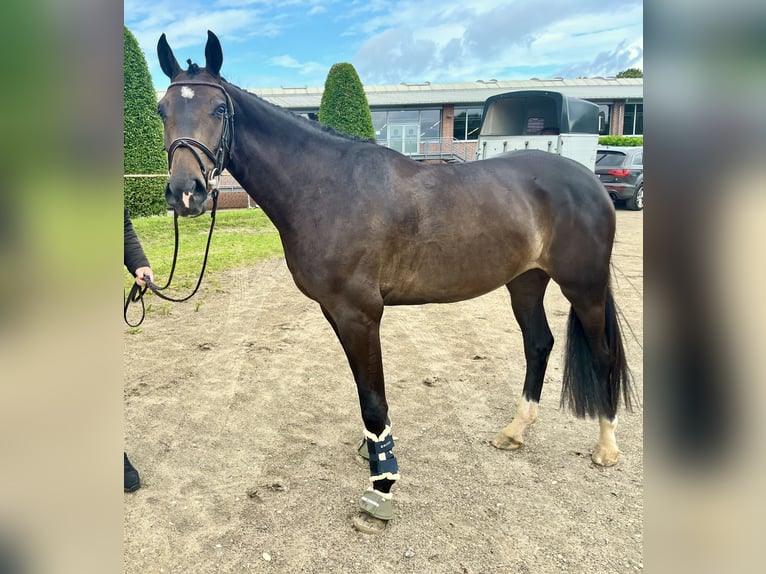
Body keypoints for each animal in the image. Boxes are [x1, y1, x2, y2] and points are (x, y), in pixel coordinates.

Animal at [155, 31, 633, 534]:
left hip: (583, 286)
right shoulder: (336, 312)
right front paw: (374, 452)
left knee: (603, 353)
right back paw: (515, 431)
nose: (186, 192)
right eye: (162, 110)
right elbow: (366, 392)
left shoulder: (360, 314)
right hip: (525, 282)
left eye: (219, 109)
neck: (327, 187)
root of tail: (589, 181)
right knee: (539, 344)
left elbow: (372, 398)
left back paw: (606, 446)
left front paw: (381, 488)